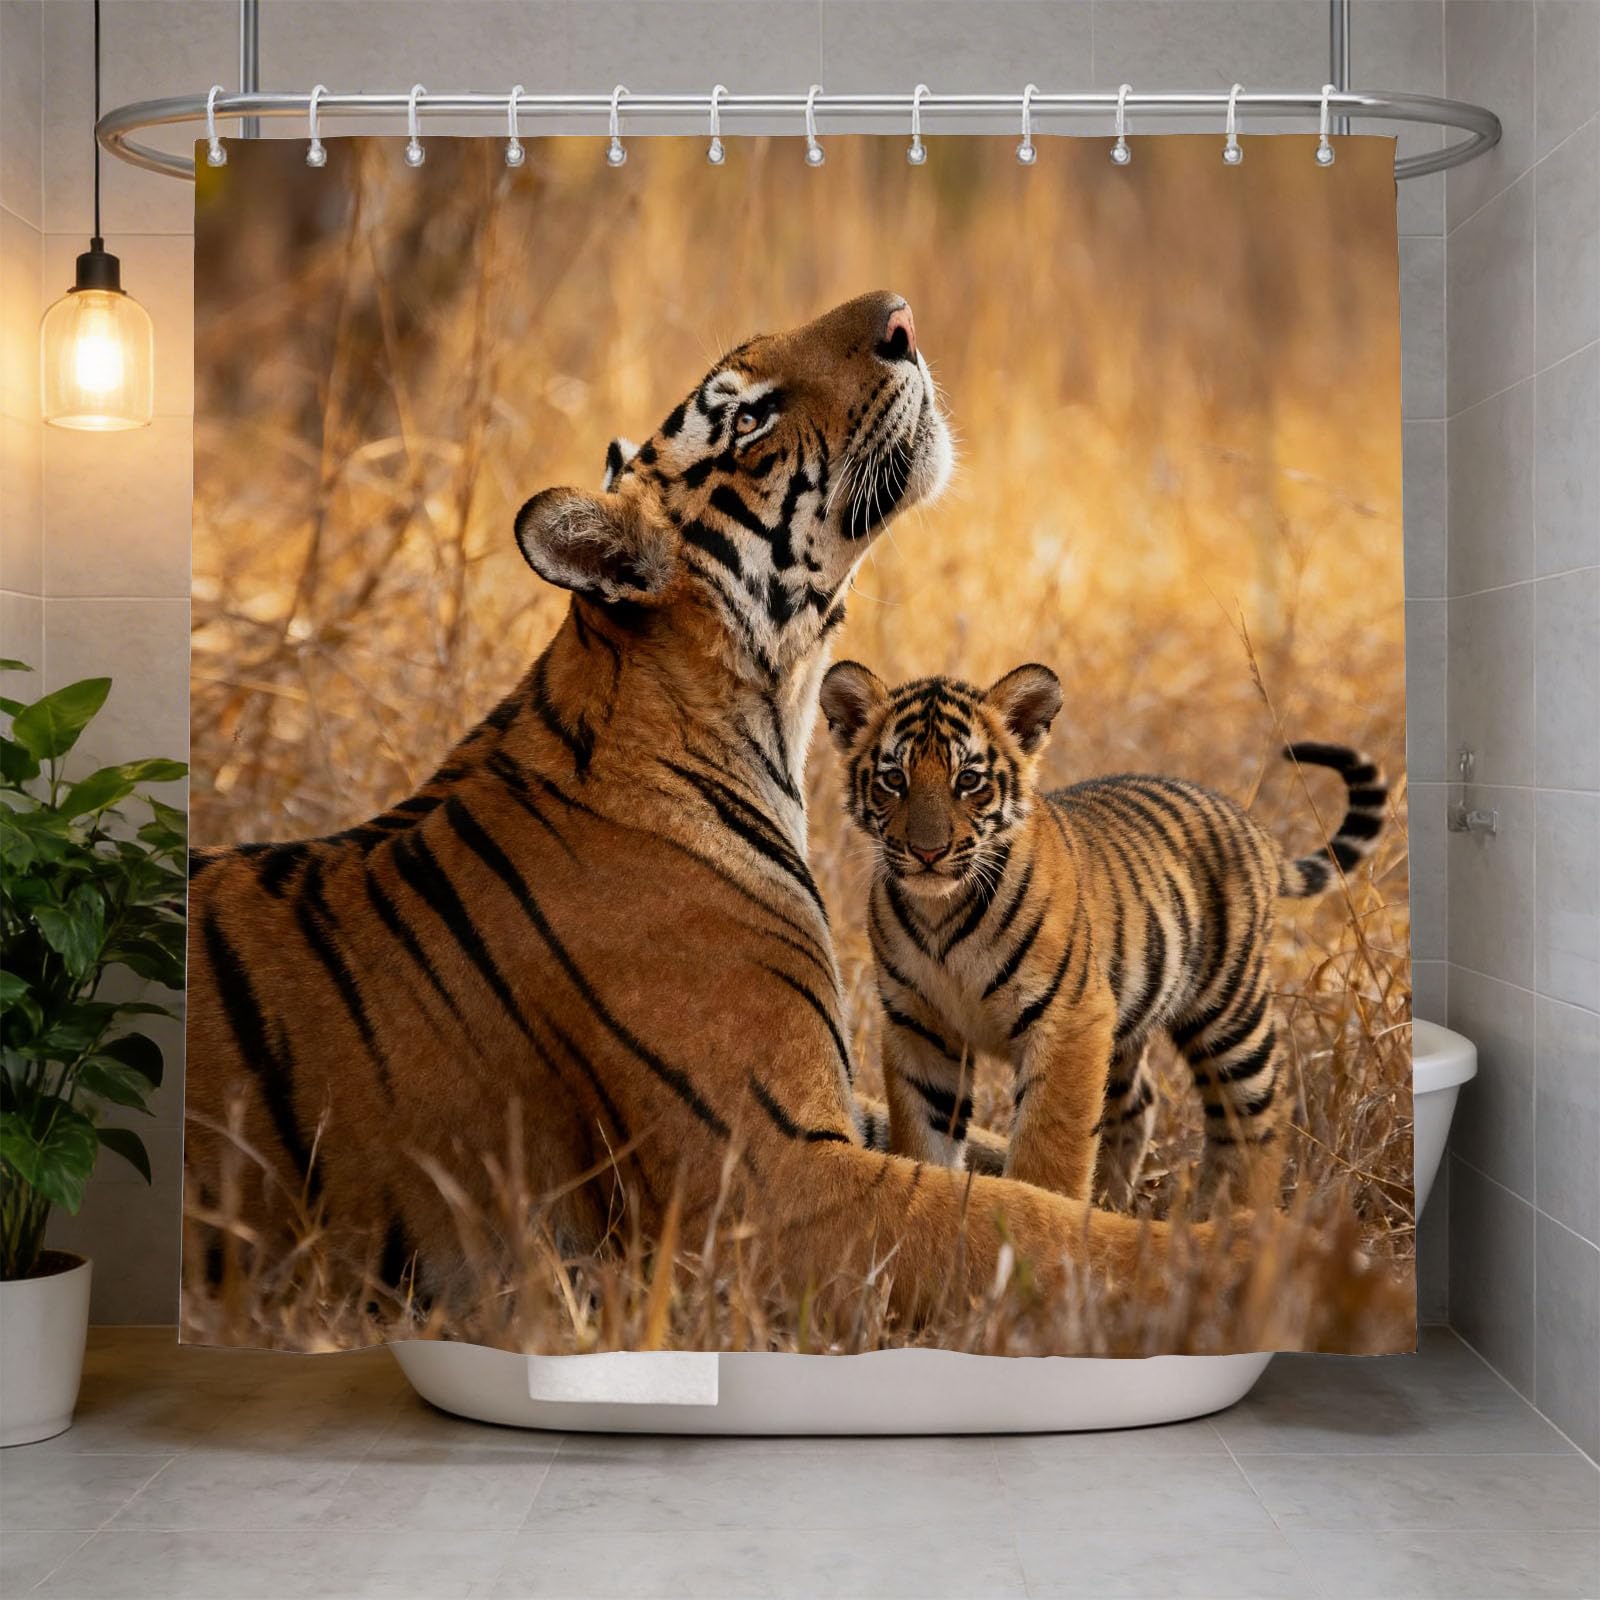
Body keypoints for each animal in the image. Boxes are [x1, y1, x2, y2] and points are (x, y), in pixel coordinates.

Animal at [185, 293, 1244, 1340]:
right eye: (745, 418)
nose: (900, 317)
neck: (761, 710)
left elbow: (1002, 1165)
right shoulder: (764, 1180)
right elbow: (1032, 1226)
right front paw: (1252, 1253)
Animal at [818, 658, 1388, 1210]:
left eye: (970, 780)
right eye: (894, 779)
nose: (928, 852)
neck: (940, 910)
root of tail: (1253, 829)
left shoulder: (1070, 1019)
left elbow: (1051, 1148)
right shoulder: (920, 1026)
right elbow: (924, 1139)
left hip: (1230, 1005)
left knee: (1257, 1112)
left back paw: (1236, 1217)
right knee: (1138, 1101)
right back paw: (1120, 1203)